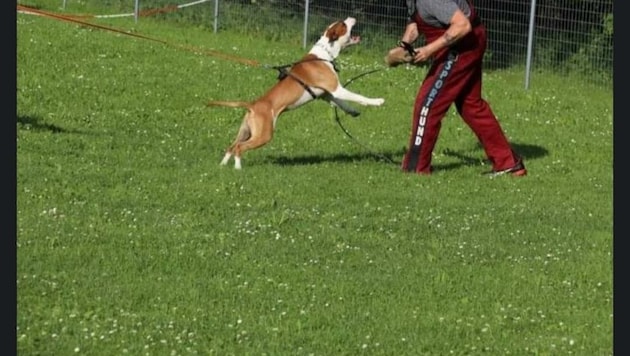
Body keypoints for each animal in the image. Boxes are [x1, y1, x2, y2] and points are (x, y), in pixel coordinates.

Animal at [207, 17, 386, 170]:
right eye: (343, 24)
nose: (351, 18)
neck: (324, 54)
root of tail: (253, 105)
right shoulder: (337, 89)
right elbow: (359, 97)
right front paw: (377, 101)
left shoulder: (327, 94)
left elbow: (342, 103)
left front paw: (353, 111)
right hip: (264, 135)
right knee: (239, 147)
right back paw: (238, 168)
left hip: (246, 131)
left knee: (231, 146)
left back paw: (223, 166)